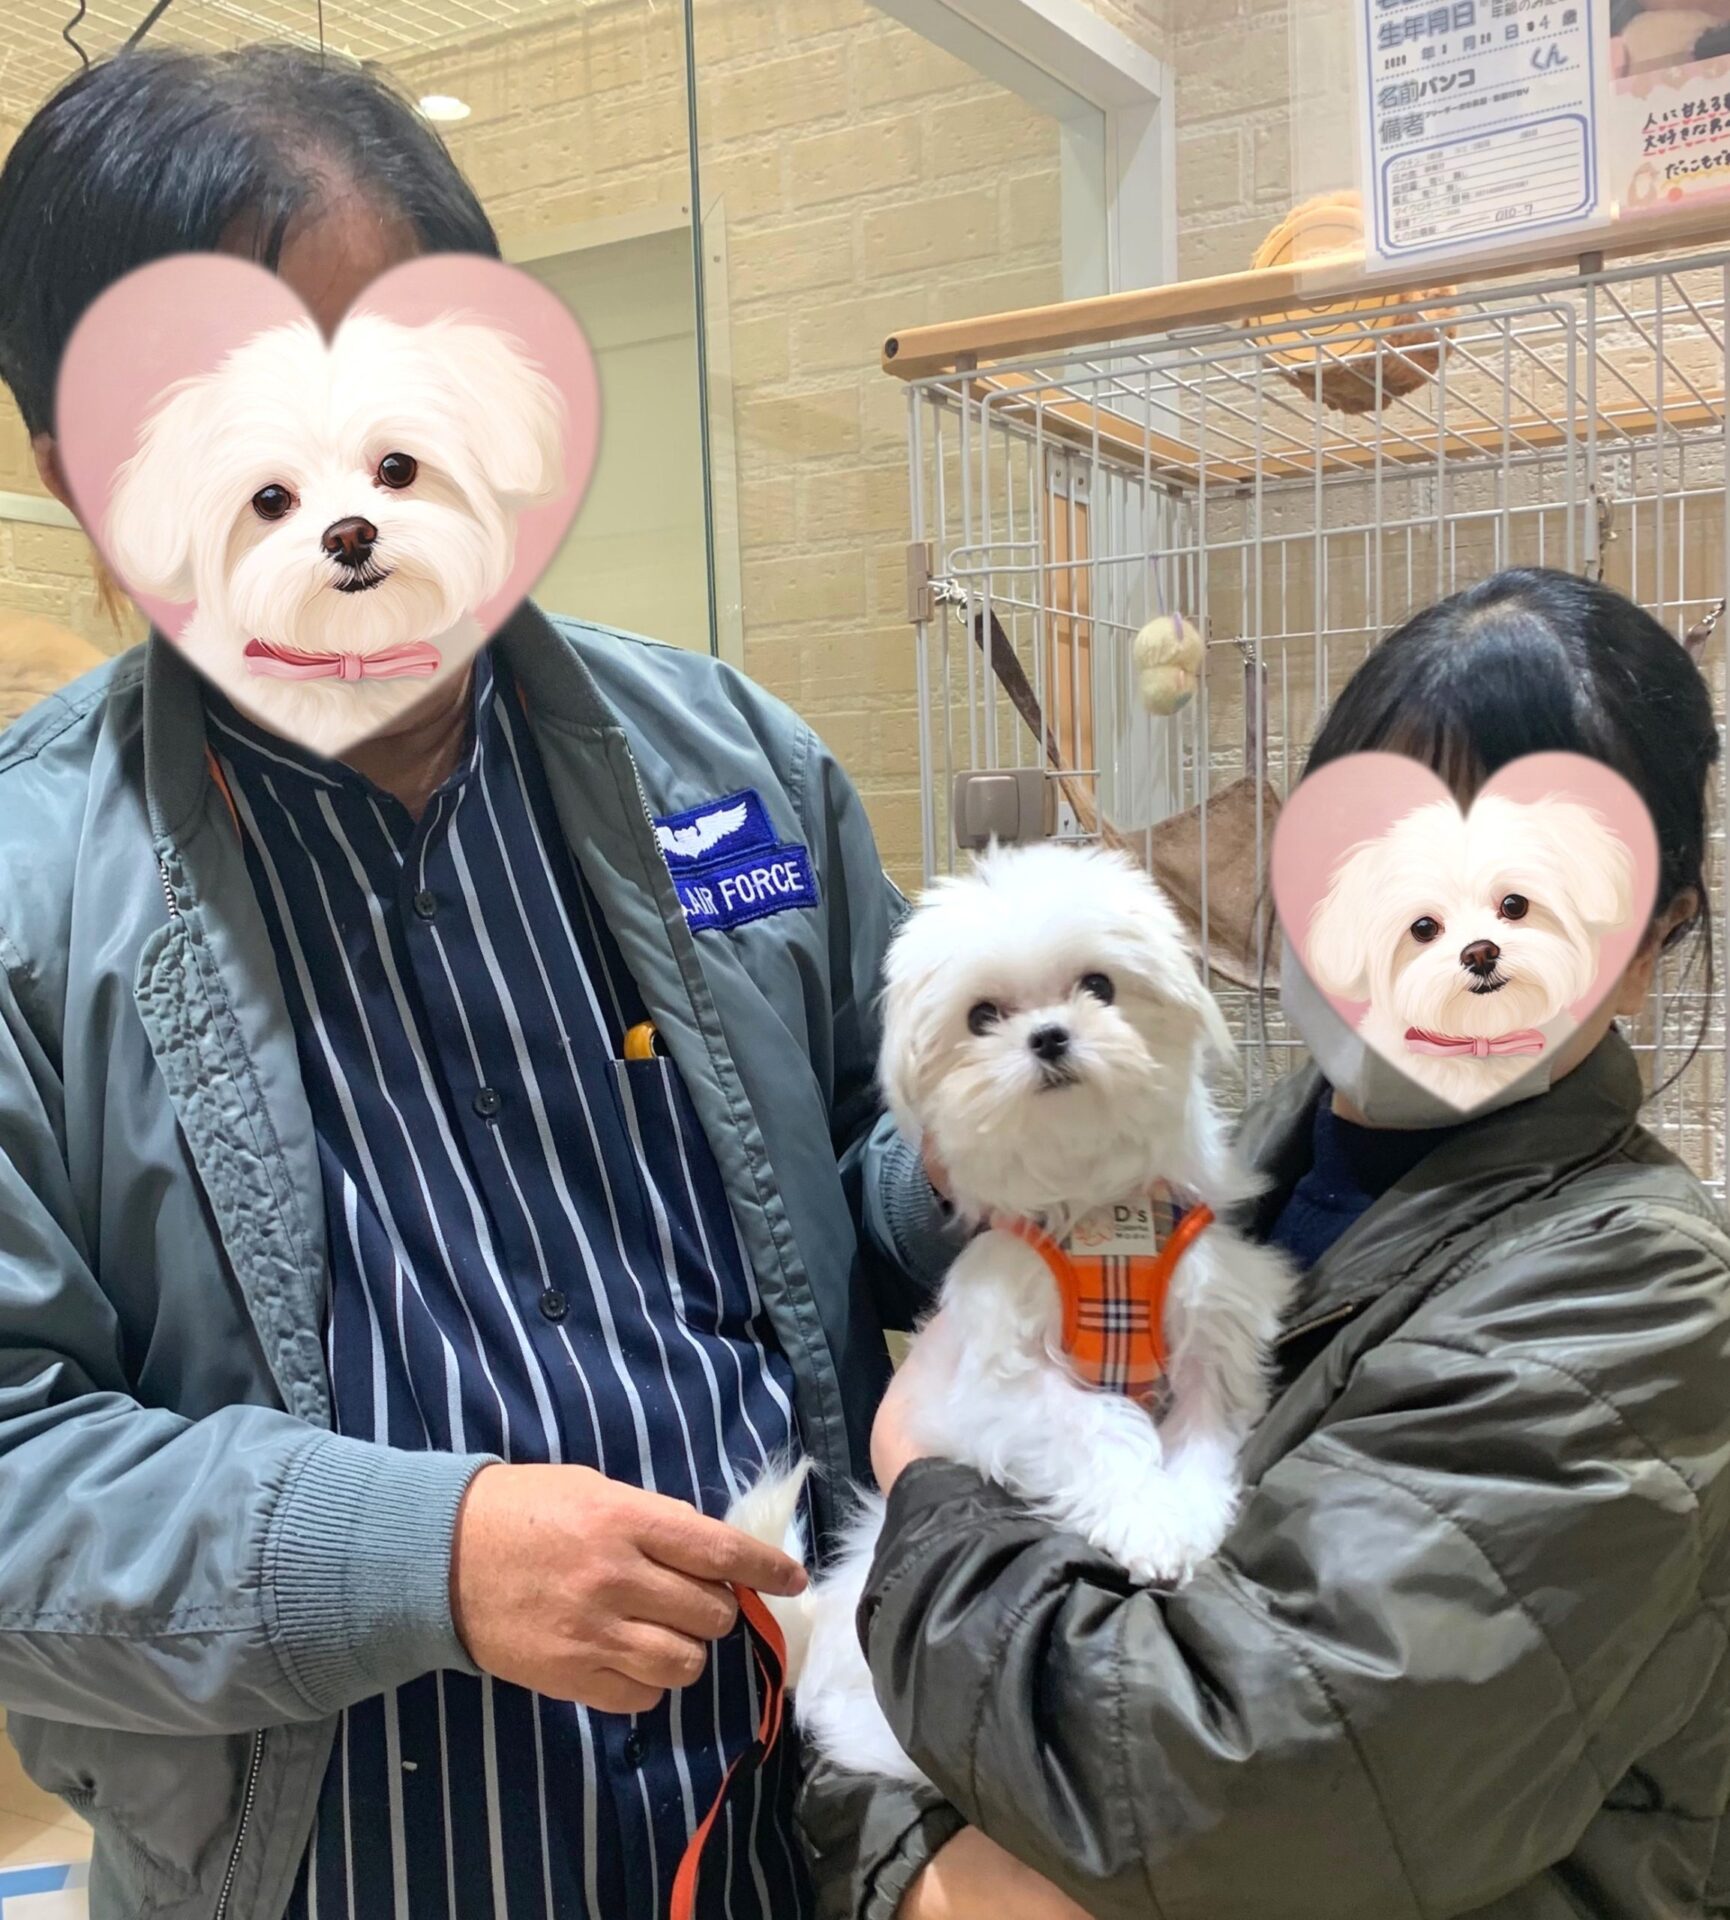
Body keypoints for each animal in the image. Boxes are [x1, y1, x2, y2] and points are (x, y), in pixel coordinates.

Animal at [731, 841, 1295, 1785]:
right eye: (983, 1015)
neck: (1099, 1215)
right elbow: (1094, 1426)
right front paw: (1146, 1517)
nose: (1049, 1035)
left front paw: (1182, 1518)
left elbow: (1201, 1436)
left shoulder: (1213, 1329)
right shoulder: (1001, 1382)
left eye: (1099, 986)